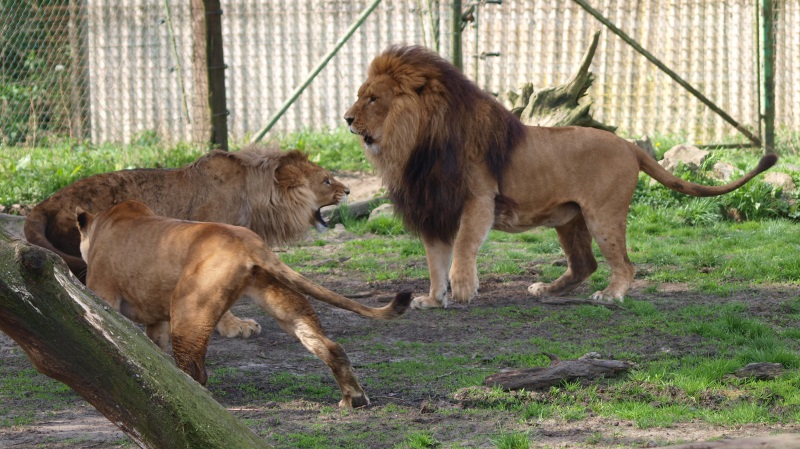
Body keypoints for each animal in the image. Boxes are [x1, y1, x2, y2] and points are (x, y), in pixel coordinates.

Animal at [76, 200, 411, 407]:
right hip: (284, 303)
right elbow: (149, 351)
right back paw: (353, 398)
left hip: (189, 309)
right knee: (329, 346)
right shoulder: (156, 320)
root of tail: (248, 241)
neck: (104, 223)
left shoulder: (102, 293)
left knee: (194, 369)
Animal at [344, 44, 777, 309]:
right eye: (361, 95)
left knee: (623, 265)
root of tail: (630, 145)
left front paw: (464, 288)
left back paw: (611, 295)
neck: (415, 144)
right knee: (584, 264)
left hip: (602, 215)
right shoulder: (433, 208)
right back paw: (547, 290)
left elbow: (464, 245)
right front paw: (434, 299)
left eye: (373, 98)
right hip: (570, 219)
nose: (346, 118)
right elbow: (435, 261)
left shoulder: (479, 198)